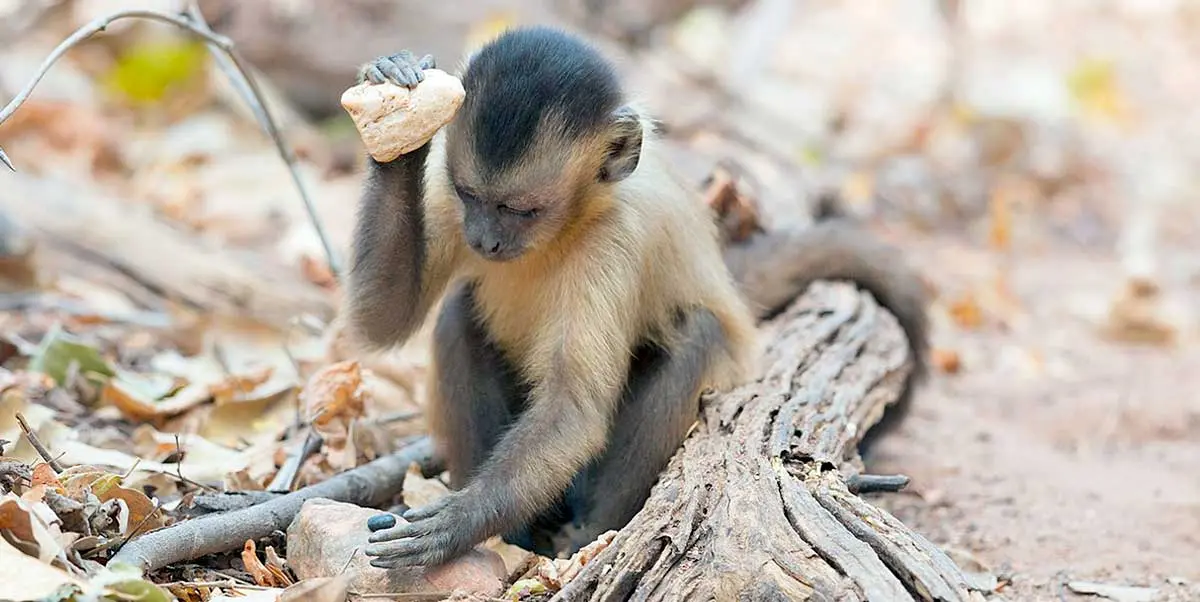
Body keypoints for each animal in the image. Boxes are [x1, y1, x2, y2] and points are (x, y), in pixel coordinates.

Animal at [343, 24, 931, 568]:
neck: (573, 222)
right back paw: (521, 535)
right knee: (459, 313)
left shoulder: (615, 240)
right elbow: (383, 320)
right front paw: (398, 115)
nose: (483, 240)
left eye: (521, 210)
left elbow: (574, 411)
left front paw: (457, 524)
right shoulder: (448, 202)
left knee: (697, 332)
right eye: (471, 196)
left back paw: (588, 533)